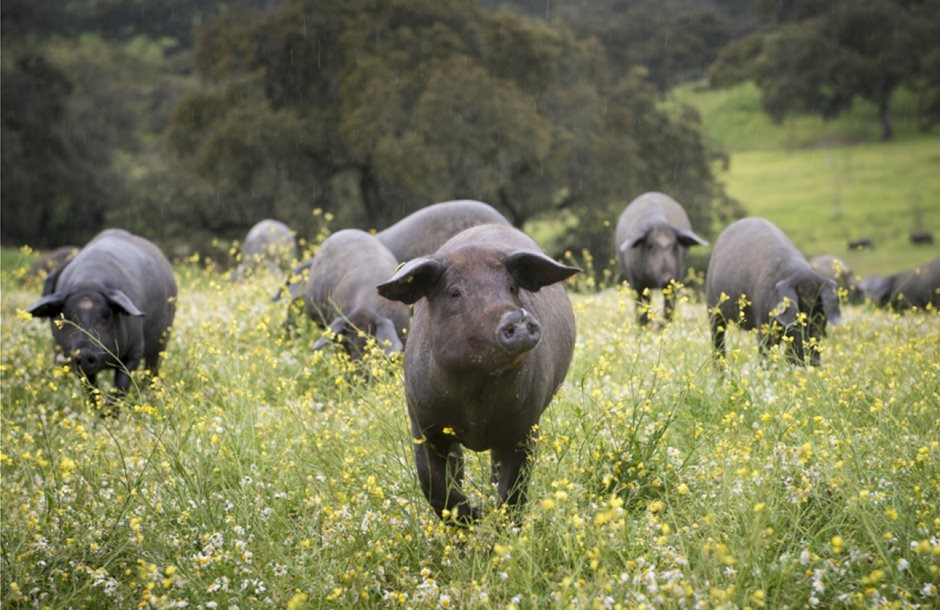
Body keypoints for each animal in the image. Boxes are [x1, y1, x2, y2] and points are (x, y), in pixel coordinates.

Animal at [26, 230, 177, 396]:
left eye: (106, 315)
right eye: (69, 316)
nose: (84, 354)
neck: (88, 285)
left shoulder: (135, 351)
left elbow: (119, 388)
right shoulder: (72, 359)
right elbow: (92, 391)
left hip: (162, 339)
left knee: (152, 367)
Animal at [378, 223, 576, 524]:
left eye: (511, 287)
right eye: (455, 291)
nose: (516, 317)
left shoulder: (525, 426)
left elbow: (512, 492)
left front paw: (496, 524)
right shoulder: (422, 422)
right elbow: (432, 483)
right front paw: (474, 518)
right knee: (457, 462)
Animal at [612, 191, 708, 324]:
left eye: (674, 246)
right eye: (650, 246)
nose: (668, 277)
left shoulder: (676, 280)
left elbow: (669, 308)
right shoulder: (636, 281)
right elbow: (641, 308)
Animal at [700, 216, 840, 364]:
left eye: (820, 318)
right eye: (797, 319)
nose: (814, 362)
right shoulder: (763, 324)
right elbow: (766, 350)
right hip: (712, 308)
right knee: (717, 338)